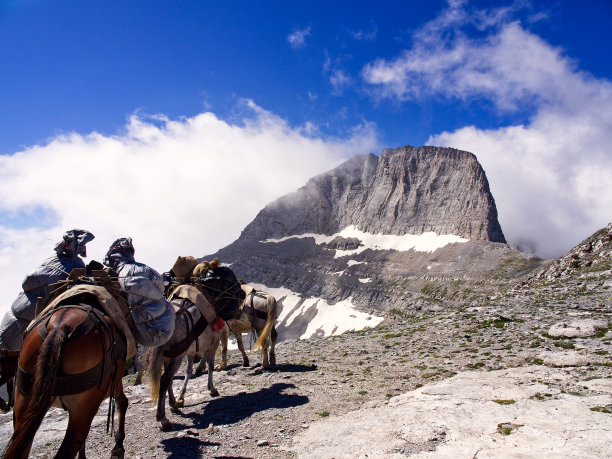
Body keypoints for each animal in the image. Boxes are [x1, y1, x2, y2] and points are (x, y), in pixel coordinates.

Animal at [2, 304, 128, 458]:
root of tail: (59, 327)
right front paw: (118, 448)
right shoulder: (115, 380)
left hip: (23, 401)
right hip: (83, 408)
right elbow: (122, 402)